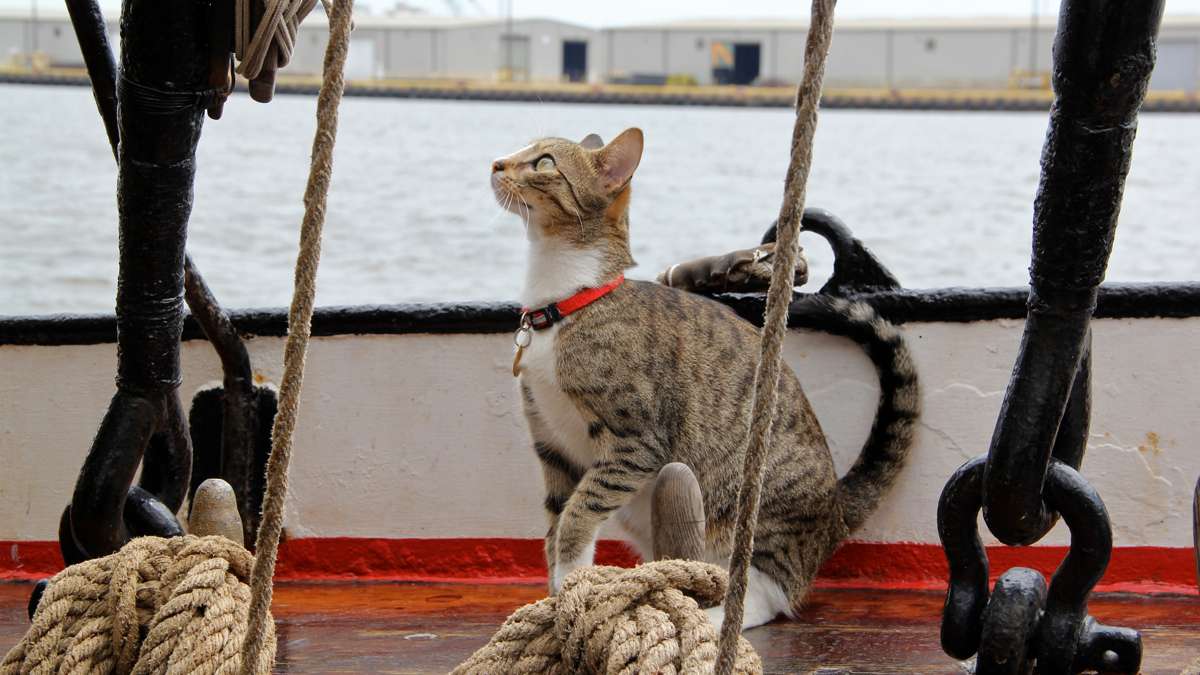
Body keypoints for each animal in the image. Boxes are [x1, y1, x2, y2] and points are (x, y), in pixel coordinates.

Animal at [487, 127, 916, 629]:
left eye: (544, 162)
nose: (497, 164)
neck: (563, 303)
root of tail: (835, 512)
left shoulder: (636, 441)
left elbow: (577, 515)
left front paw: (573, 580)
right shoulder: (553, 446)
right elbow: (556, 524)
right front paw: (558, 599)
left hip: (749, 522)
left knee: (765, 592)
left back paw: (711, 618)